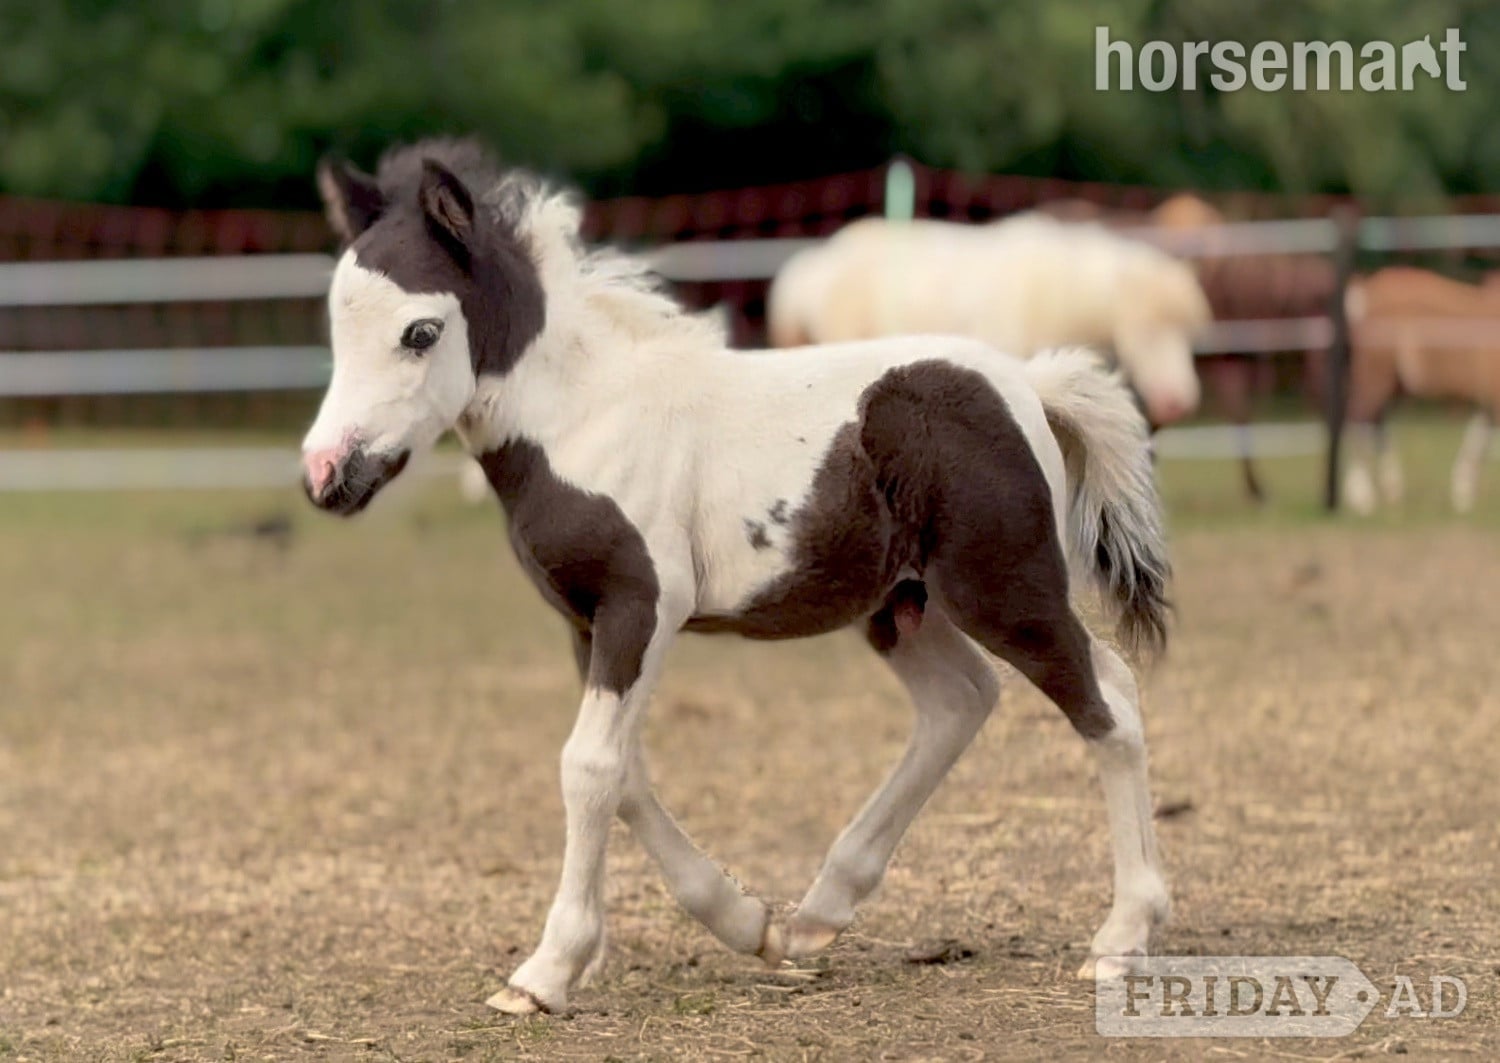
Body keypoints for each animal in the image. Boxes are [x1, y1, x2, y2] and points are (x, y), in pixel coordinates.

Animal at [1341, 266, 1500, 514]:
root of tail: (1365, 291)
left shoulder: (1487, 403)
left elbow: (1476, 443)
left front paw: (1462, 497)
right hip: (1374, 378)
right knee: (1358, 421)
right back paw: (1363, 498)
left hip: (1389, 384)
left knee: (1376, 423)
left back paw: (1391, 489)